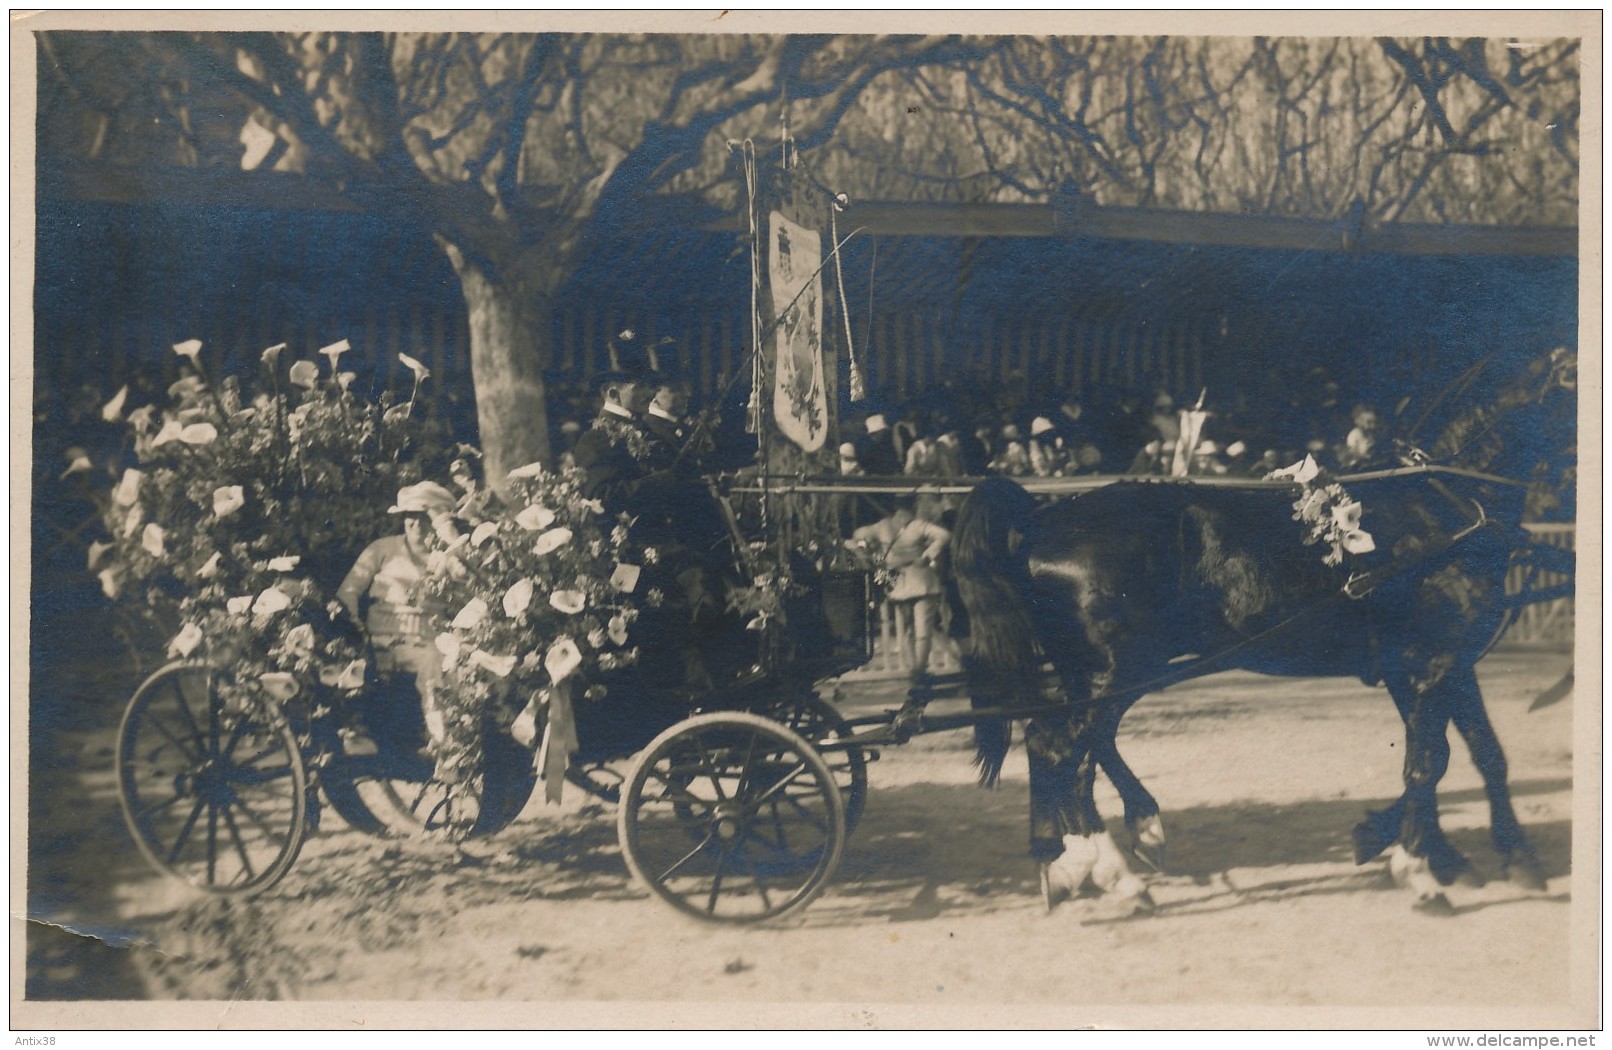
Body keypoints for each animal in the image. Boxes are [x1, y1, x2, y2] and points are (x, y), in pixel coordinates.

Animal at [954, 351, 1573, 909]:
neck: (1442, 507)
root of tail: (1041, 517)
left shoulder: (1439, 666)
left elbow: (1481, 755)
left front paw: (1494, 857)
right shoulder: (1430, 663)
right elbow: (1429, 762)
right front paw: (1418, 870)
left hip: (1110, 672)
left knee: (1078, 748)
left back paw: (1088, 852)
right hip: (1117, 669)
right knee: (1057, 746)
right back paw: (1112, 874)